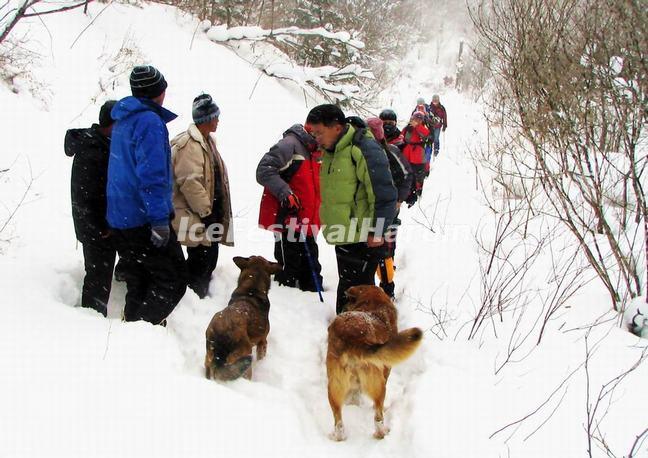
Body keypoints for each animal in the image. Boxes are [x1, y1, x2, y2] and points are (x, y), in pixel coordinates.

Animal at [326, 286, 422, 440]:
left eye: (349, 300)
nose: (341, 309)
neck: (373, 301)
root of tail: (352, 339)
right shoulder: (386, 369)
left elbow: (355, 394)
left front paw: (353, 403)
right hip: (379, 385)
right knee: (378, 416)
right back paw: (382, 433)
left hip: (334, 386)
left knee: (338, 420)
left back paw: (338, 436)